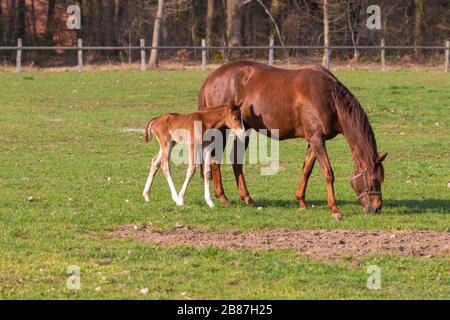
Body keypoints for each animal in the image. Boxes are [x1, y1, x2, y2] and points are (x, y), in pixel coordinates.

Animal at [199, 60, 388, 220]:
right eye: (373, 182)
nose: (377, 208)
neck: (329, 98)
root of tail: (211, 77)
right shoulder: (317, 139)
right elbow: (328, 173)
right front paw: (334, 209)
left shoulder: (314, 141)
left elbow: (307, 170)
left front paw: (302, 202)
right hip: (222, 130)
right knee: (215, 160)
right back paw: (223, 198)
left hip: (244, 130)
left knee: (235, 160)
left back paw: (247, 198)